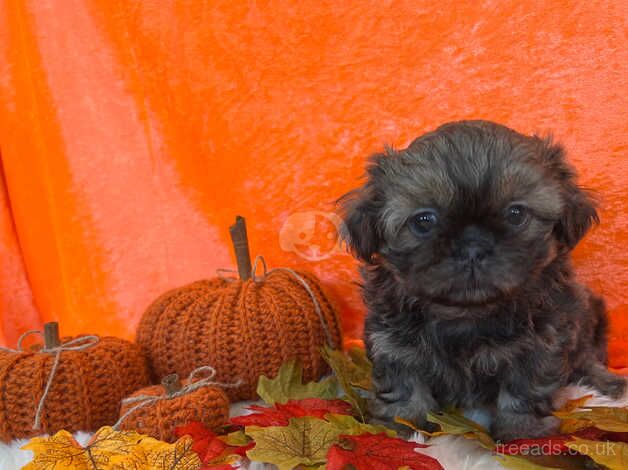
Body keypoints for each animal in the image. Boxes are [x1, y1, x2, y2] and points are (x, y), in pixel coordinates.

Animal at [340, 120, 624, 440]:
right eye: (424, 221)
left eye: (516, 214)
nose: (473, 248)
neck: (466, 314)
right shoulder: (394, 342)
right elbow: (404, 385)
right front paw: (401, 426)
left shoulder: (541, 342)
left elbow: (524, 388)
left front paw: (522, 432)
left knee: (586, 357)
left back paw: (607, 381)